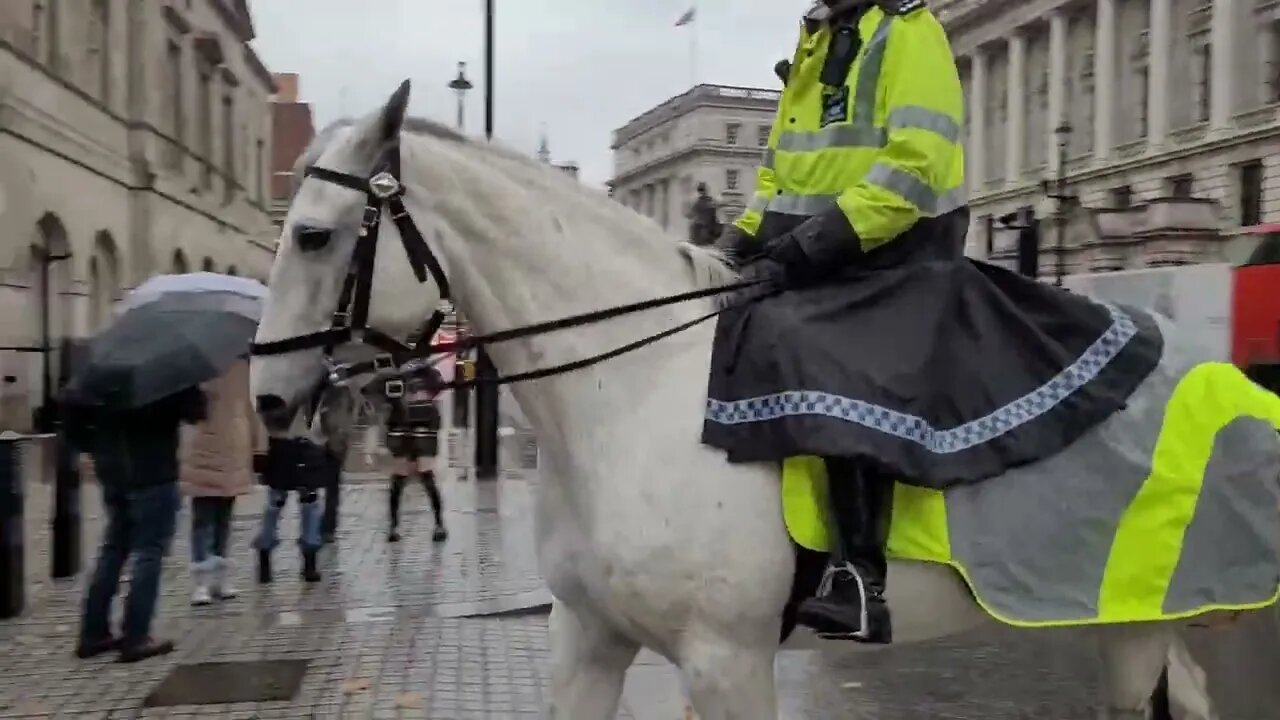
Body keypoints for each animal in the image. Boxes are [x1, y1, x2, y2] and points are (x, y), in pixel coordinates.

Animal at [252, 81, 1269, 712]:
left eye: (313, 235)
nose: (265, 401)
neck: (631, 402)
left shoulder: (726, 660)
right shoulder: (586, 640)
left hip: (1139, 619)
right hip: (1141, 616)